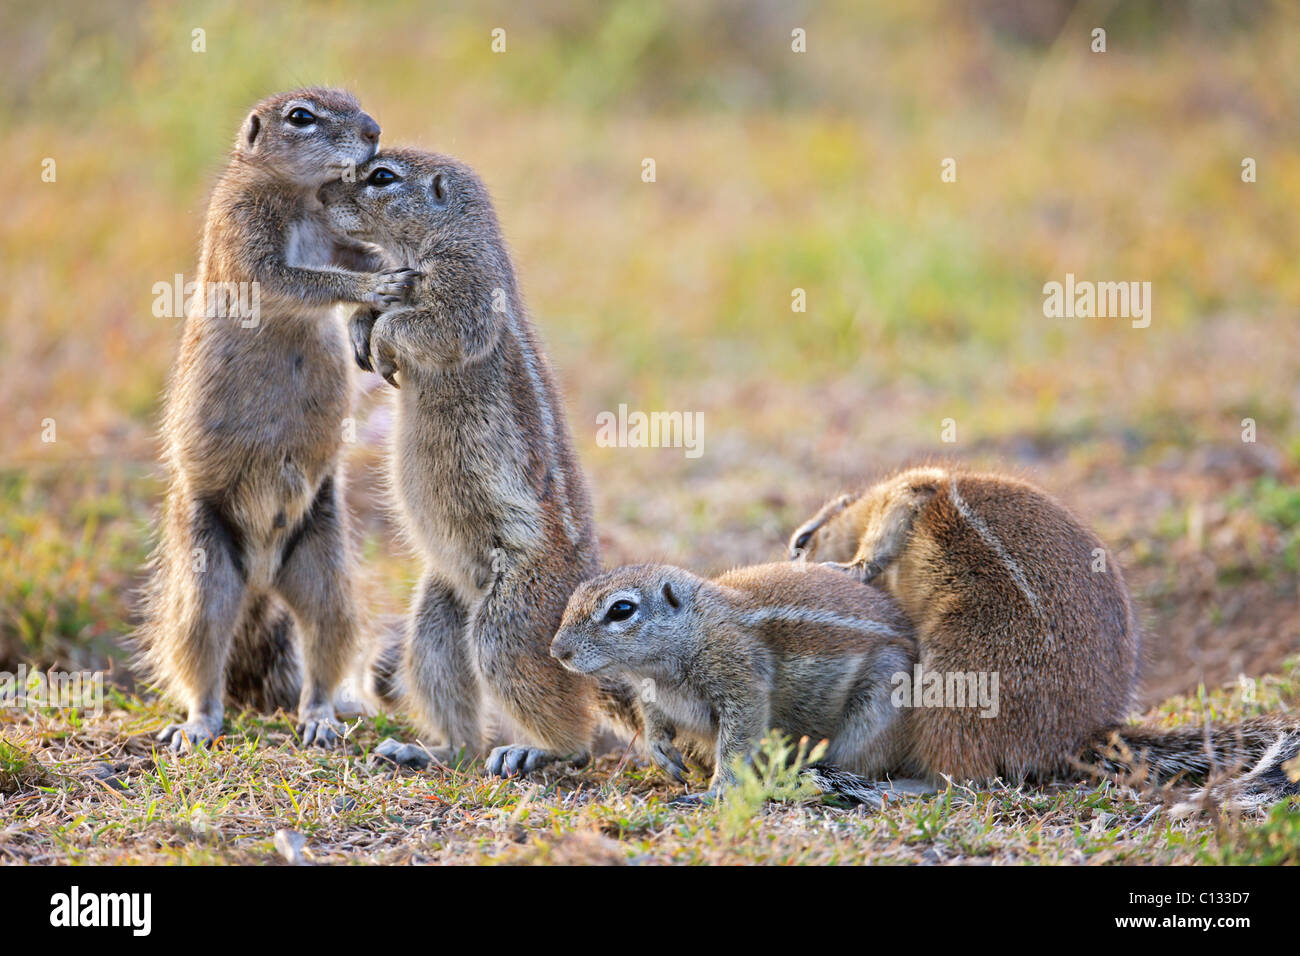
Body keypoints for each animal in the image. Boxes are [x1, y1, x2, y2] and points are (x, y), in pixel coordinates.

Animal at [131, 85, 416, 749]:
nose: (374, 130)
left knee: (324, 649)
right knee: (200, 658)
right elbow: (299, 279)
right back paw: (198, 725)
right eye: (301, 117)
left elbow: (349, 259)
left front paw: (375, 299)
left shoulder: (335, 236)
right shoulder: (247, 234)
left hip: (324, 571)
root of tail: (261, 576)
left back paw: (320, 719)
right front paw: (375, 287)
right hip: (206, 579)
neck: (296, 194)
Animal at [315, 149, 639, 780]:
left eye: (383, 176)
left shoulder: (465, 285)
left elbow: (432, 326)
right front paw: (359, 328)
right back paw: (428, 749)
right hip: (437, 616)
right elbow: (375, 311)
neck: (440, 236)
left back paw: (531, 750)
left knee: (575, 733)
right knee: (457, 710)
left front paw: (382, 338)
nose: (319, 196)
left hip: (508, 624)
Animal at [548, 561, 915, 801]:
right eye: (575, 595)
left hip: (878, 706)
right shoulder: (651, 694)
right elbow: (653, 719)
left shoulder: (740, 680)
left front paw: (718, 790)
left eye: (621, 609)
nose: (557, 650)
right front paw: (659, 748)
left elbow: (737, 742)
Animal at [785, 463, 1300, 806]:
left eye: (801, 540)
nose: (790, 561)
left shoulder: (910, 490)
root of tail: (1079, 735)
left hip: (960, 672)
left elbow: (887, 531)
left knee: (965, 776)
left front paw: (849, 569)